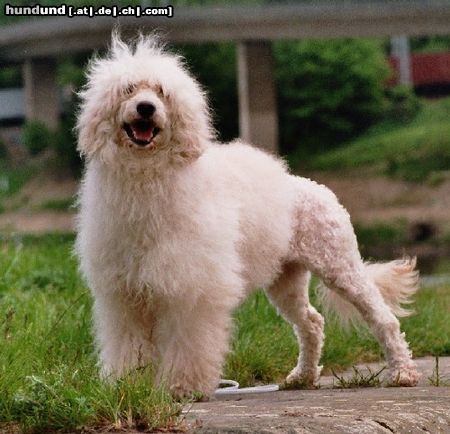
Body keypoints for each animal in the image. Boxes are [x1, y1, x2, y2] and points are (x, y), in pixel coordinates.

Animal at [76, 35, 418, 398]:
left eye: (161, 91)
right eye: (128, 89)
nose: (145, 108)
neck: (148, 178)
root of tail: (319, 189)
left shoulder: (192, 292)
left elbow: (189, 344)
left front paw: (183, 387)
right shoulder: (124, 296)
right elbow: (129, 346)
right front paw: (127, 385)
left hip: (340, 268)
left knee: (384, 319)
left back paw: (402, 372)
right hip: (286, 281)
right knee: (312, 323)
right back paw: (302, 377)